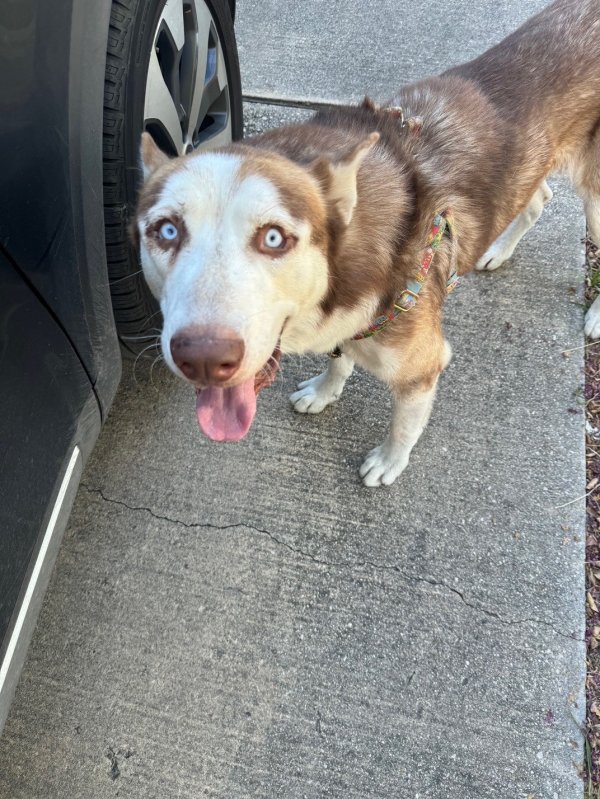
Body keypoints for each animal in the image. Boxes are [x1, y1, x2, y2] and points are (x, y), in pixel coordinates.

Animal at [135, 0, 600, 488]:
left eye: (274, 237)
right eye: (166, 231)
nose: (204, 359)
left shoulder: (423, 366)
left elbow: (404, 424)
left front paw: (390, 461)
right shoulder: (348, 327)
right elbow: (340, 358)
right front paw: (325, 390)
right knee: (539, 197)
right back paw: (498, 249)